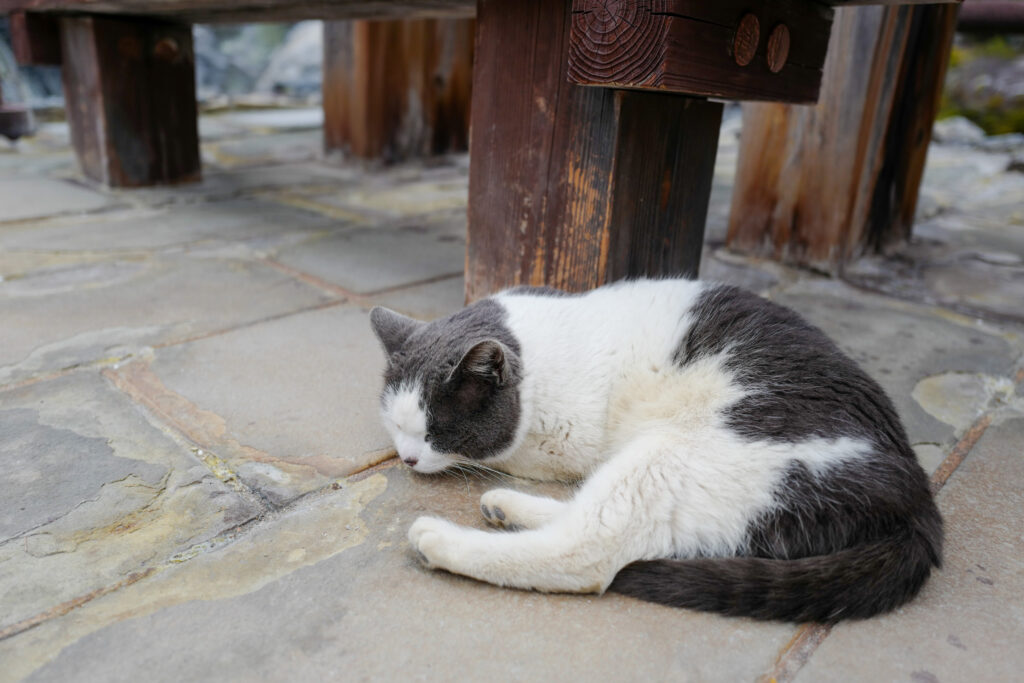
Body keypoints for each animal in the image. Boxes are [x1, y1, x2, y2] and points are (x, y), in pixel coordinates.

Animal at [370, 278, 942, 626]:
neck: (536, 354)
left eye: (437, 431)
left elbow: (513, 456)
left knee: (590, 550)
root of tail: (918, 503)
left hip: (679, 452)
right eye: (394, 424)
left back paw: (441, 540)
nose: (408, 459)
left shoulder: (562, 443)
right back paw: (506, 507)